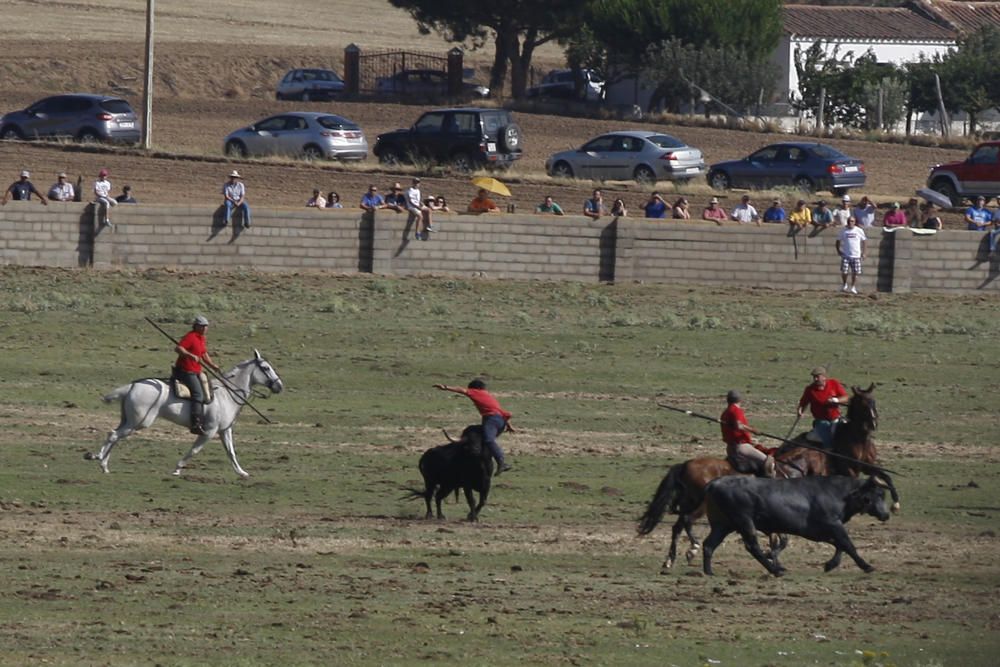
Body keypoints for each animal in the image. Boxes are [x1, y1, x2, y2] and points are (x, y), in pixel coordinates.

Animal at [88, 352, 284, 478]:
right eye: (266, 367)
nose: (279, 386)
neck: (226, 394)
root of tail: (132, 386)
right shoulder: (209, 431)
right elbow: (194, 450)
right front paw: (177, 468)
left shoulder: (224, 431)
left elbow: (231, 452)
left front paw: (241, 473)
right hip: (139, 422)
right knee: (113, 435)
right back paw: (99, 460)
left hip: (129, 421)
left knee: (115, 436)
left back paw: (104, 464)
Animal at [696, 472, 900, 576]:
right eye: (879, 494)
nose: (886, 514)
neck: (839, 493)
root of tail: (714, 484)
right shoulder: (833, 525)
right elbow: (847, 544)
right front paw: (866, 566)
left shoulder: (820, 531)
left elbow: (839, 545)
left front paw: (830, 564)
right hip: (744, 522)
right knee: (752, 546)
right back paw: (776, 570)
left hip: (722, 525)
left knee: (709, 545)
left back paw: (709, 572)